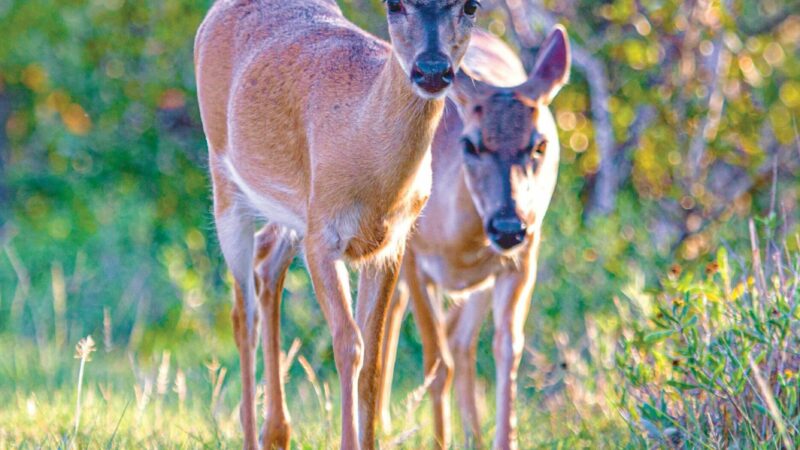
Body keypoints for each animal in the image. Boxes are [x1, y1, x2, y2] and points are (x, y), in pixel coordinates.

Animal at [195, 0, 482, 448]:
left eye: (471, 6)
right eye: (394, 4)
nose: (433, 70)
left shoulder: (391, 245)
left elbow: (374, 361)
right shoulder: (323, 237)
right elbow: (349, 343)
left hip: (294, 213)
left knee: (267, 266)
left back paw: (277, 431)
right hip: (225, 182)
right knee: (243, 314)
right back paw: (252, 432)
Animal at [376, 26, 568, 448]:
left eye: (540, 144)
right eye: (471, 143)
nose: (508, 226)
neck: (458, 243)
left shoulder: (521, 262)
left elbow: (506, 350)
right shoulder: (413, 259)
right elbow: (435, 362)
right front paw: (438, 440)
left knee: (462, 341)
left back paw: (472, 437)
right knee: (394, 320)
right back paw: (380, 423)